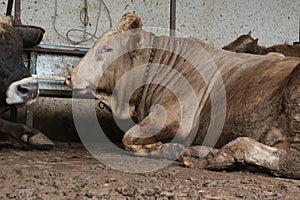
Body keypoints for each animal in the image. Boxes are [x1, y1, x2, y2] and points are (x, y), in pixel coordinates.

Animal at [65, 13, 300, 179]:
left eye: (107, 48)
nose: (70, 76)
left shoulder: (174, 116)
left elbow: (128, 137)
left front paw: (165, 148)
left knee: (288, 159)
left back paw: (221, 154)